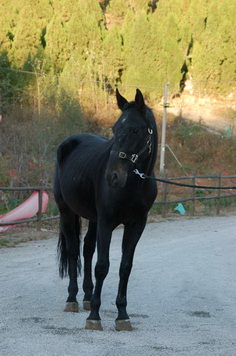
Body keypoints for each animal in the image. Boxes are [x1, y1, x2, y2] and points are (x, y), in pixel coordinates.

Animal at [54, 89, 158, 330]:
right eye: (115, 128)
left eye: (135, 130)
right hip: (67, 212)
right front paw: (94, 316)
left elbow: (125, 267)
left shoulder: (136, 225)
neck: (134, 185)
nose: (113, 176)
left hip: (92, 219)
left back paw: (86, 296)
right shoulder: (107, 222)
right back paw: (72, 299)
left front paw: (122, 315)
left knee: (87, 249)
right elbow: (102, 266)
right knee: (73, 251)